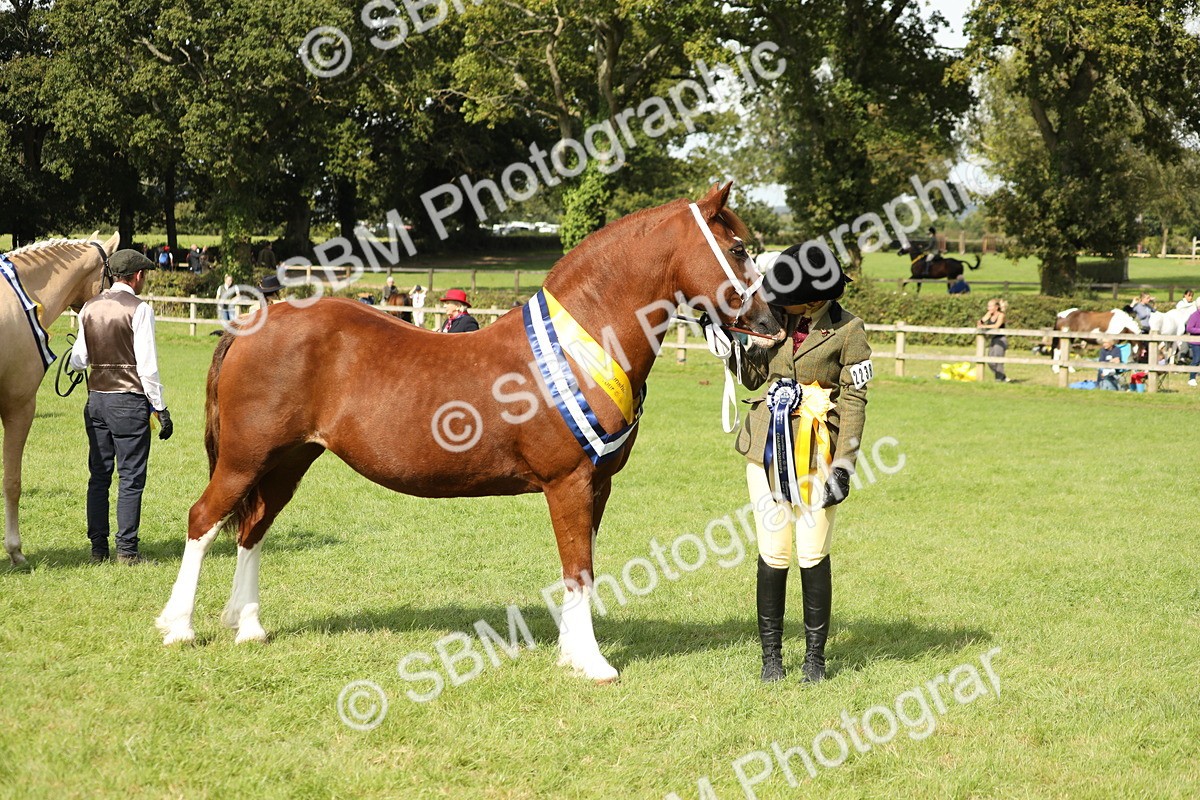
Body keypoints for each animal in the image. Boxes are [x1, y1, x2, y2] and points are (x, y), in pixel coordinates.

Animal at [155, 183, 784, 682]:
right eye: (737, 250)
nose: (772, 327)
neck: (581, 345)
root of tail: (254, 321)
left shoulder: (598, 485)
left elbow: (579, 564)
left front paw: (569, 653)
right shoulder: (570, 482)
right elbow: (578, 567)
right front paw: (594, 665)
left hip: (288, 461)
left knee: (252, 529)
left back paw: (249, 627)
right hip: (245, 458)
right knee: (204, 519)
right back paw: (179, 627)